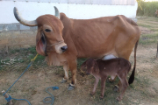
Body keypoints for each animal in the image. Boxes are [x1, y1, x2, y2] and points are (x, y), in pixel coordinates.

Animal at [12, 6, 140, 90]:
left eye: (61, 27)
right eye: (47, 29)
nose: (64, 47)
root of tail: (130, 21)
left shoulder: (72, 56)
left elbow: (73, 71)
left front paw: (72, 83)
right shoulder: (63, 57)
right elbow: (64, 69)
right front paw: (65, 78)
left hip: (124, 54)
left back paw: (118, 86)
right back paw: (112, 80)